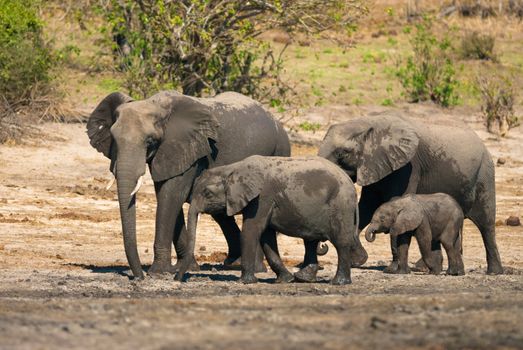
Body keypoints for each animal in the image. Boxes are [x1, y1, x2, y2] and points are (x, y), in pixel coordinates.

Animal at [86, 90, 290, 278]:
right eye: (114, 140)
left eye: (150, 141)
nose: (139, 277)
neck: (157, 106)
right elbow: (165, 194)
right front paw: (186, 267)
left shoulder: (190, 149)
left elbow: (171, 195)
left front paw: (158, 273)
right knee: (222, 214)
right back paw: (234, 264)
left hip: (279, 150)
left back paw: (255, 268)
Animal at [177, 156, 368, 284]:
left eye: (207, 193)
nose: (178, 279)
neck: (232, 168)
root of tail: (351, 184)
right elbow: (267, 237)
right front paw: (285, 280)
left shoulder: (262, 198)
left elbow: (252, 230)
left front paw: (245, 282)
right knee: (311, 241)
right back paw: (303, 278)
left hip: (340, 205)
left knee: (341, 242)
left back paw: (339, 282)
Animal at [318, 113, 506, 274]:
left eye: (342, 153)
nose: (322, 247)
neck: (368, 122)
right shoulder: (375, 165)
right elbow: (366, 207)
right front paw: (355, 261)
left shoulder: (408, 166)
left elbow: (393, 204)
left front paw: (391, 269)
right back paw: (424, 267)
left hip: (485, 173)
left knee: (486, 224)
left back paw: (494, 272)